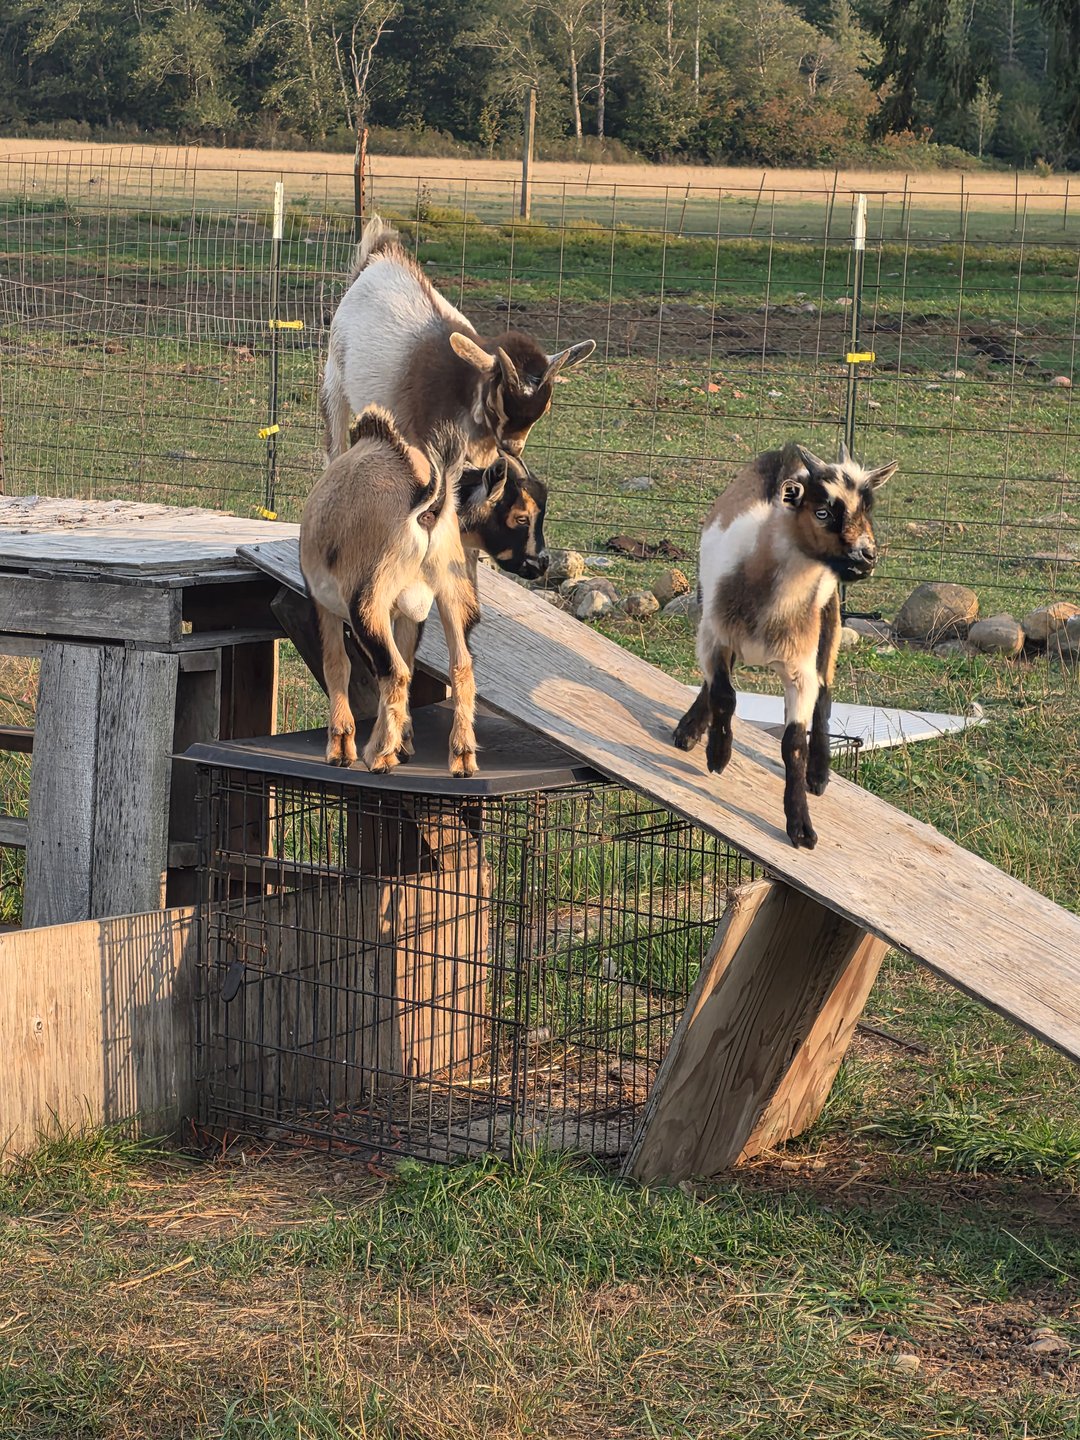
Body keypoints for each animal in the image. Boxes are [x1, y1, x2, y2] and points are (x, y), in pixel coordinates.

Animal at [300, 405, 549, 776]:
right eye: (521, 518)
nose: (542, 563)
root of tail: (430, 506)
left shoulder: (323, 601)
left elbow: (339, 664)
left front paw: (342, 748)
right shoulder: (410, 610)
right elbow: (407, 659)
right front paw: (403, 743)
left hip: (368, 600)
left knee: (394, 671)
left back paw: (377, 755)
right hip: (451, 593)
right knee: (460, 668)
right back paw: (461, 757)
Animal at [673, 441, 897, 850]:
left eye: (866, 510)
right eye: (823, 512)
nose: (866, 558)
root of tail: (789, 454)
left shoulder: (799, 668)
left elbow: (794, 742)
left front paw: (801, 825)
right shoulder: (713, 636)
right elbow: (724, 694)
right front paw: (717, 752)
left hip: (829, 615)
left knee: (825, 690)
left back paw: (820, 773)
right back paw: (691, 729)